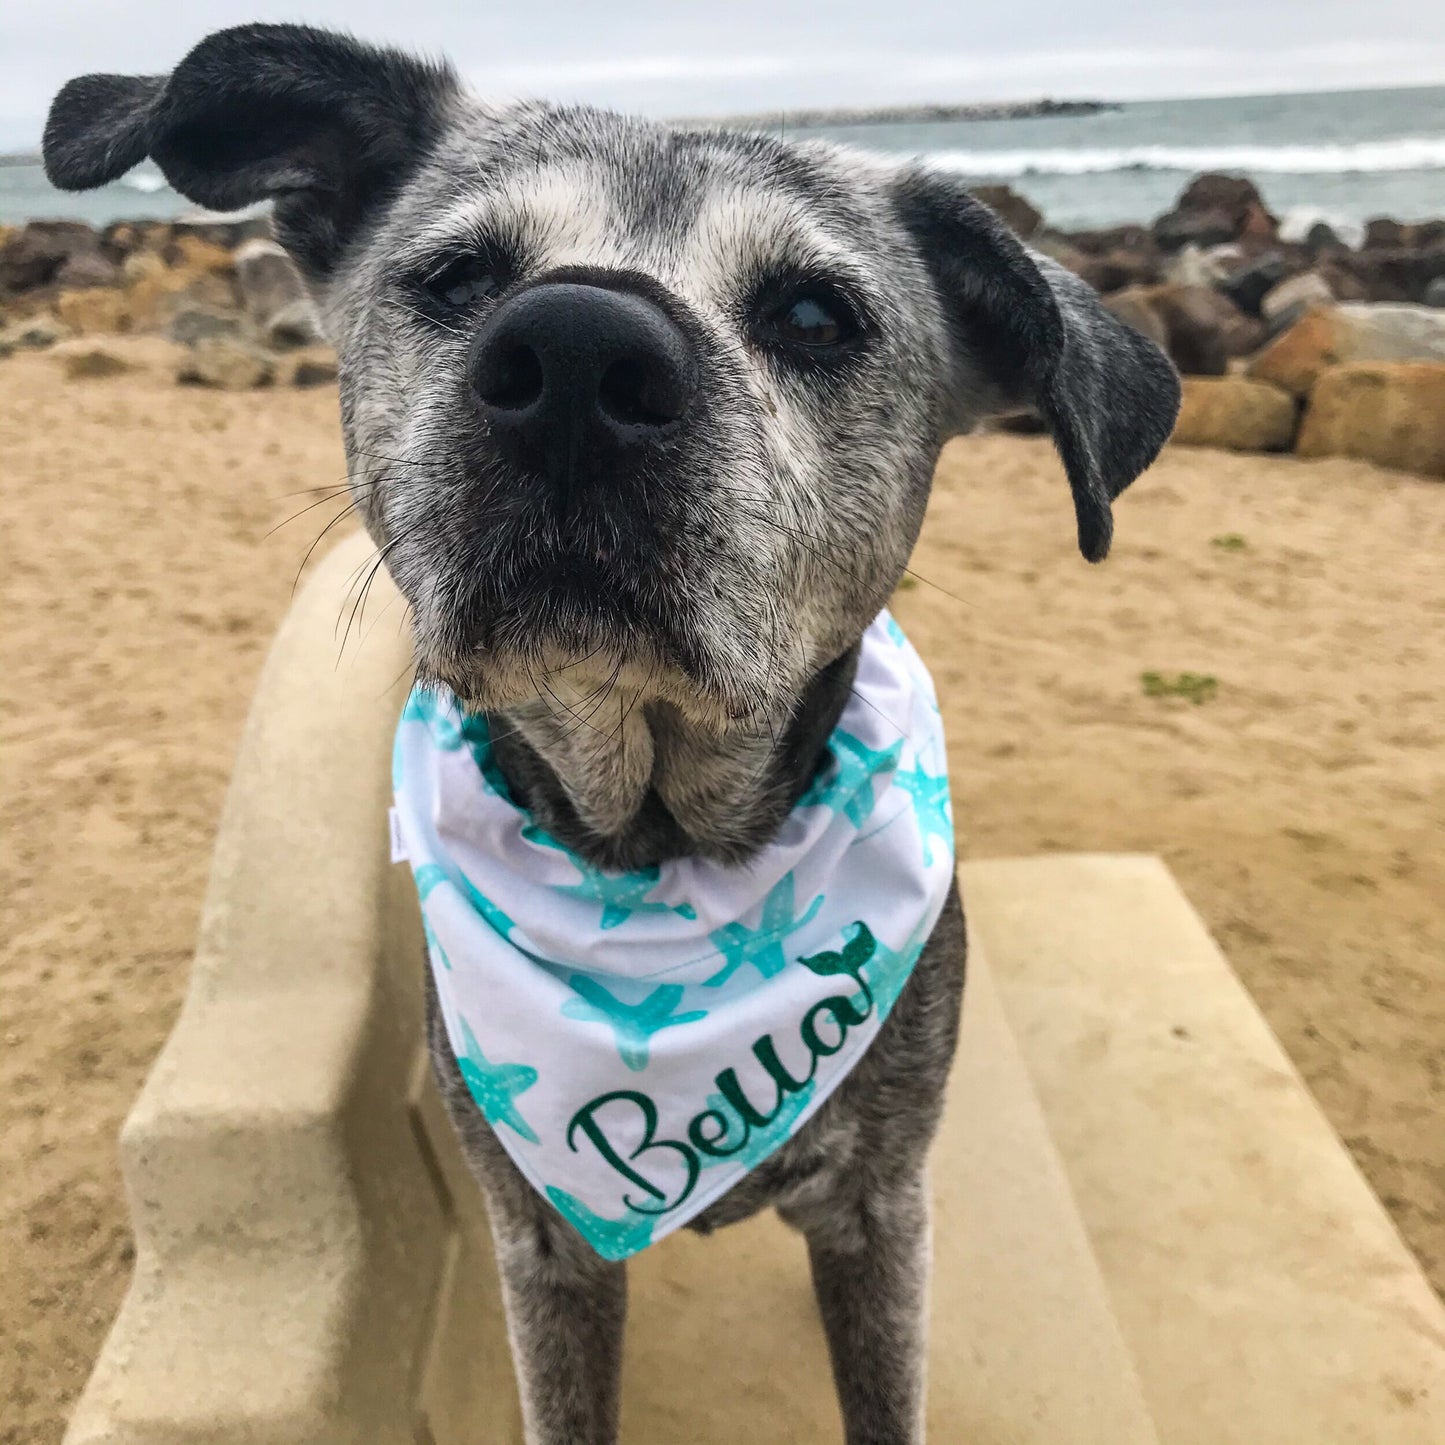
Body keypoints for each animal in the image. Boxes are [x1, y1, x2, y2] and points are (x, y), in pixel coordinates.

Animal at [45, 25, 1179, 1445]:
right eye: (459, 275)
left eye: (815, 315)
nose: (578, 355)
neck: (656, 850)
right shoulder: (543, 1243)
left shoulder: (879, 1211)